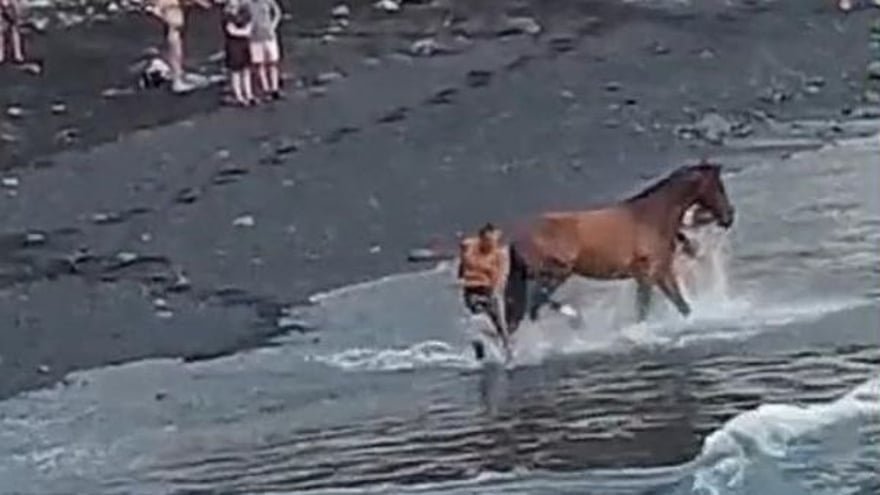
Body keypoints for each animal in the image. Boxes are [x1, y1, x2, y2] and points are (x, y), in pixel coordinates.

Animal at [502, 161, 735, 334]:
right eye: (719, 187)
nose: (728, 217)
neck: (652, 217)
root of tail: (518, 237)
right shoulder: (647, 276)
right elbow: (642, 311)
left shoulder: (662, 273)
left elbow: (682, 306)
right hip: (556, 273)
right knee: (535, 304)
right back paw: (573, 316)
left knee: (530, 309)